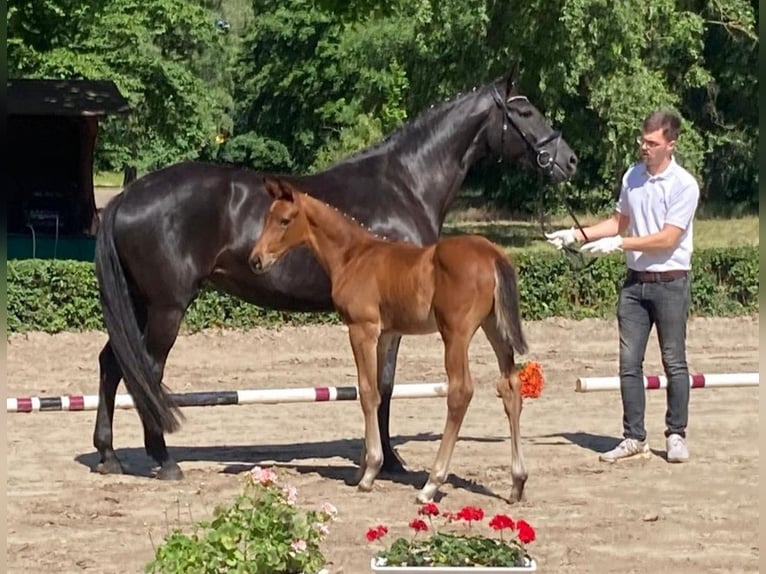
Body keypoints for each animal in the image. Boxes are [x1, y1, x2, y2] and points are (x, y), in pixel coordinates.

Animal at [249, 177, 532, 504]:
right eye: (267, 218)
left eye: (284, 220)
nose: (256, 260)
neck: (354, 256)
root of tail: (493, 254)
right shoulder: (384, 335)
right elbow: (378, 390)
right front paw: (362, 469)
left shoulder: (362, 329)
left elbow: (366, 391)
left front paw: (370, 472)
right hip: (494, 327)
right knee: (511, 386)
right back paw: (517, 483)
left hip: (455, 333)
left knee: (460, 392)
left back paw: (431, 485)